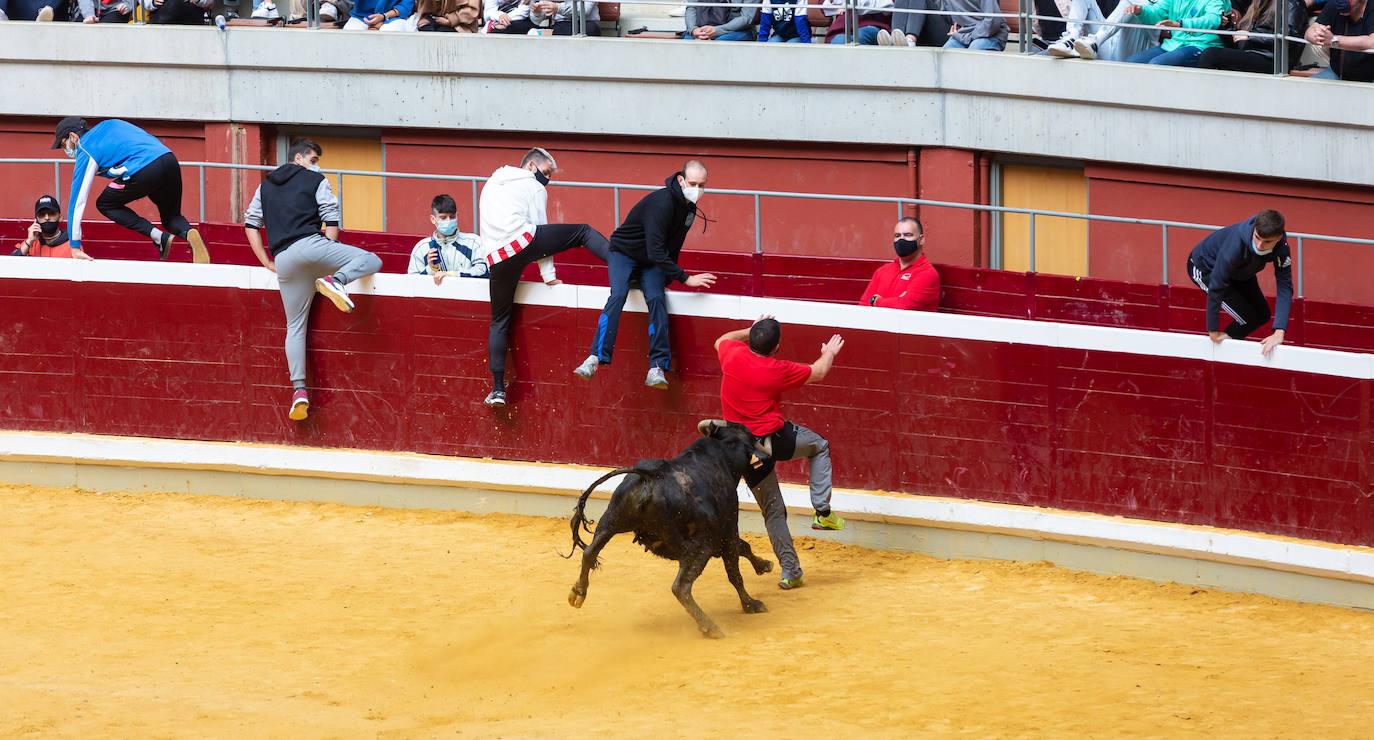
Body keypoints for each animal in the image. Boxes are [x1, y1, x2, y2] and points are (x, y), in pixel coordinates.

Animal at [566, 422, 774, 637]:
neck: (722, 453)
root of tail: (650, 478)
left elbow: (744, 547)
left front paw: (764, 565)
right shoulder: (728, 530)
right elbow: (736, 570)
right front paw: (751, 604)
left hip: (611, 521)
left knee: (589, 552)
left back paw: (578, 592)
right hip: (699, 548)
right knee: (681, 587)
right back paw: (710, 627)